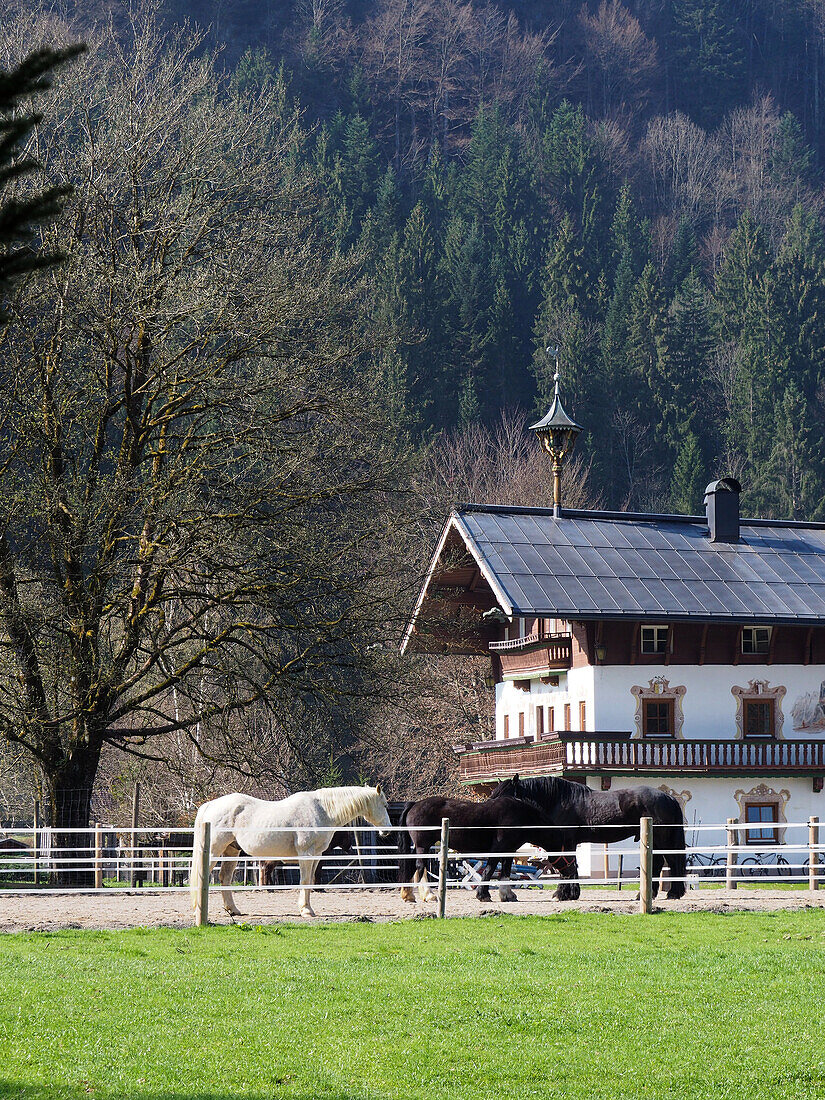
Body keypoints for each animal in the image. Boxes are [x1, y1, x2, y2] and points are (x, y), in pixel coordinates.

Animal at [192, 783, 391, 919]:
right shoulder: (306, 854)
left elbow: (309, 881)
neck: (322, 810)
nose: (387, 831)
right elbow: (304, 880)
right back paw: (198, 910)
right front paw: (306, 910)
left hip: (231, 851)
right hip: (214, 851)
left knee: (224, 877)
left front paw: (308, 908)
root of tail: (210, 805)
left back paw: (233, 910)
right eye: (384, 805)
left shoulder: (316, 856)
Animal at [398, 796, 576, 906]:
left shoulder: (508, 851)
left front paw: (507, 895)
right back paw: (426, 895)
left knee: (414, 866)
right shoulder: (498, 849)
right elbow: (490, 870)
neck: (522, 817)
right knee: (421, 867)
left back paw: (410, 895)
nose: (572, 872)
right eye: (569, 854)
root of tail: (414, 804)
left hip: (421, 847)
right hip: (423, 846)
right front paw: (483, 895)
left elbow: (505, 872)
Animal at [495, 774, 686, 902]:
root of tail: (668, 797)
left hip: (662, 839)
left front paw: (562, 894)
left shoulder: (565, 842)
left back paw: (668, 893)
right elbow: (571, 866)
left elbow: (566, 867)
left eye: (505, 795)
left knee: (669, 861)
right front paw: (571, 894)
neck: (558, 801)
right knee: (660, 862)